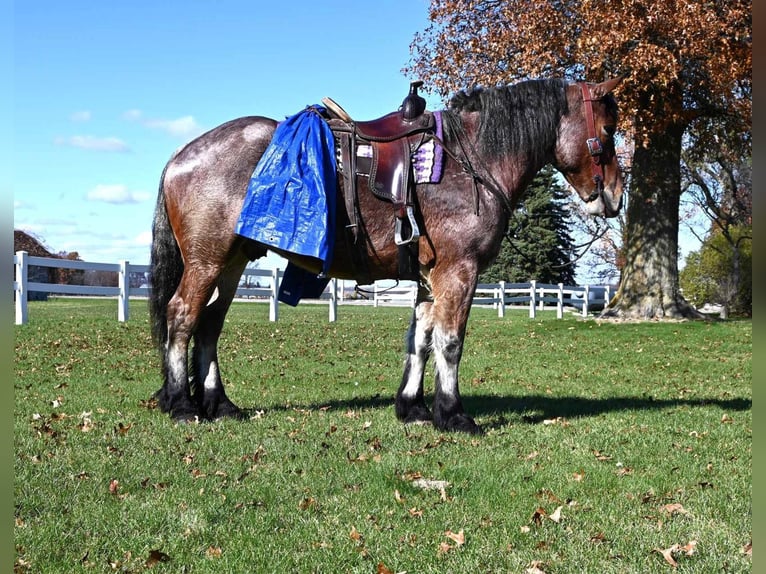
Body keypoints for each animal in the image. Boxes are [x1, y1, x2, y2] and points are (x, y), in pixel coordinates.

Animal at [148, 77, 624, 436]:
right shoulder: (459, 271)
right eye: (608, 133)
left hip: (231, 264)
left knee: (209, 326)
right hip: (207, 262)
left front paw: (413, 407)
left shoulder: (431, 278)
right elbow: (450, 342)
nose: (615, 197)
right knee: (182, 316)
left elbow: (420, 339)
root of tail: (179, 155)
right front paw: (453, 414)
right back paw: (182, 404)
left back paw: (219, 404)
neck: (470, 159)